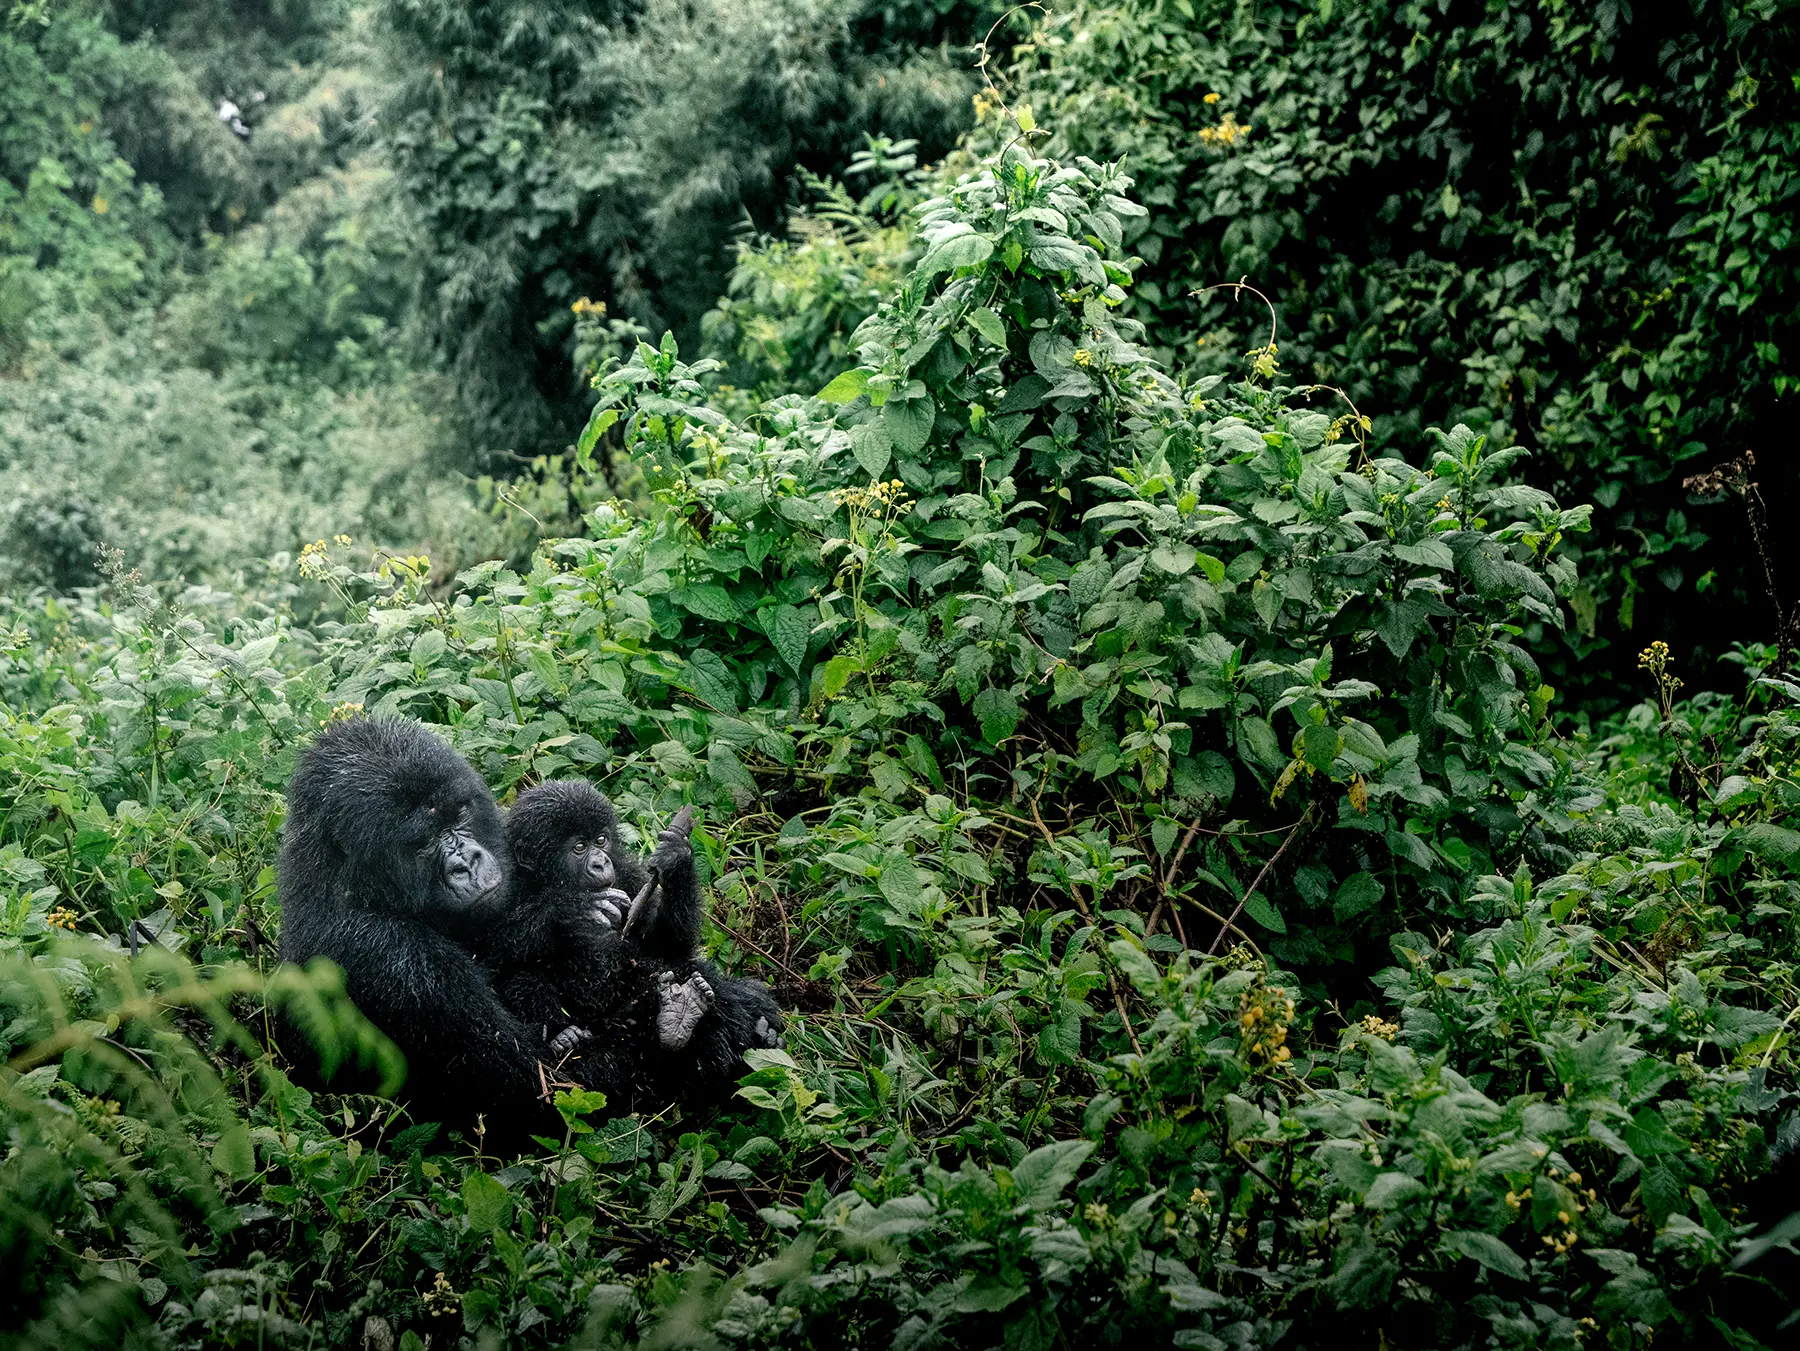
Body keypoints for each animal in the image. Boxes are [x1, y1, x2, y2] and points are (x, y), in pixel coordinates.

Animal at [275, 717, 566, 1141]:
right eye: (424, 842)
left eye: (459, 815)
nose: (467, 863)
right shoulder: (393, 961)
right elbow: (548, 1094)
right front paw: (565, 915)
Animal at [482, 780, 783, 1113]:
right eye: (579, 847)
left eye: (601, 840)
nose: (601, 862)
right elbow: (489, 953)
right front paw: (572, 909)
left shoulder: (627, 872)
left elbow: (666, 947)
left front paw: (676, 861)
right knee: (522, 979)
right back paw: (568, 1038)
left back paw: (686, 1021)